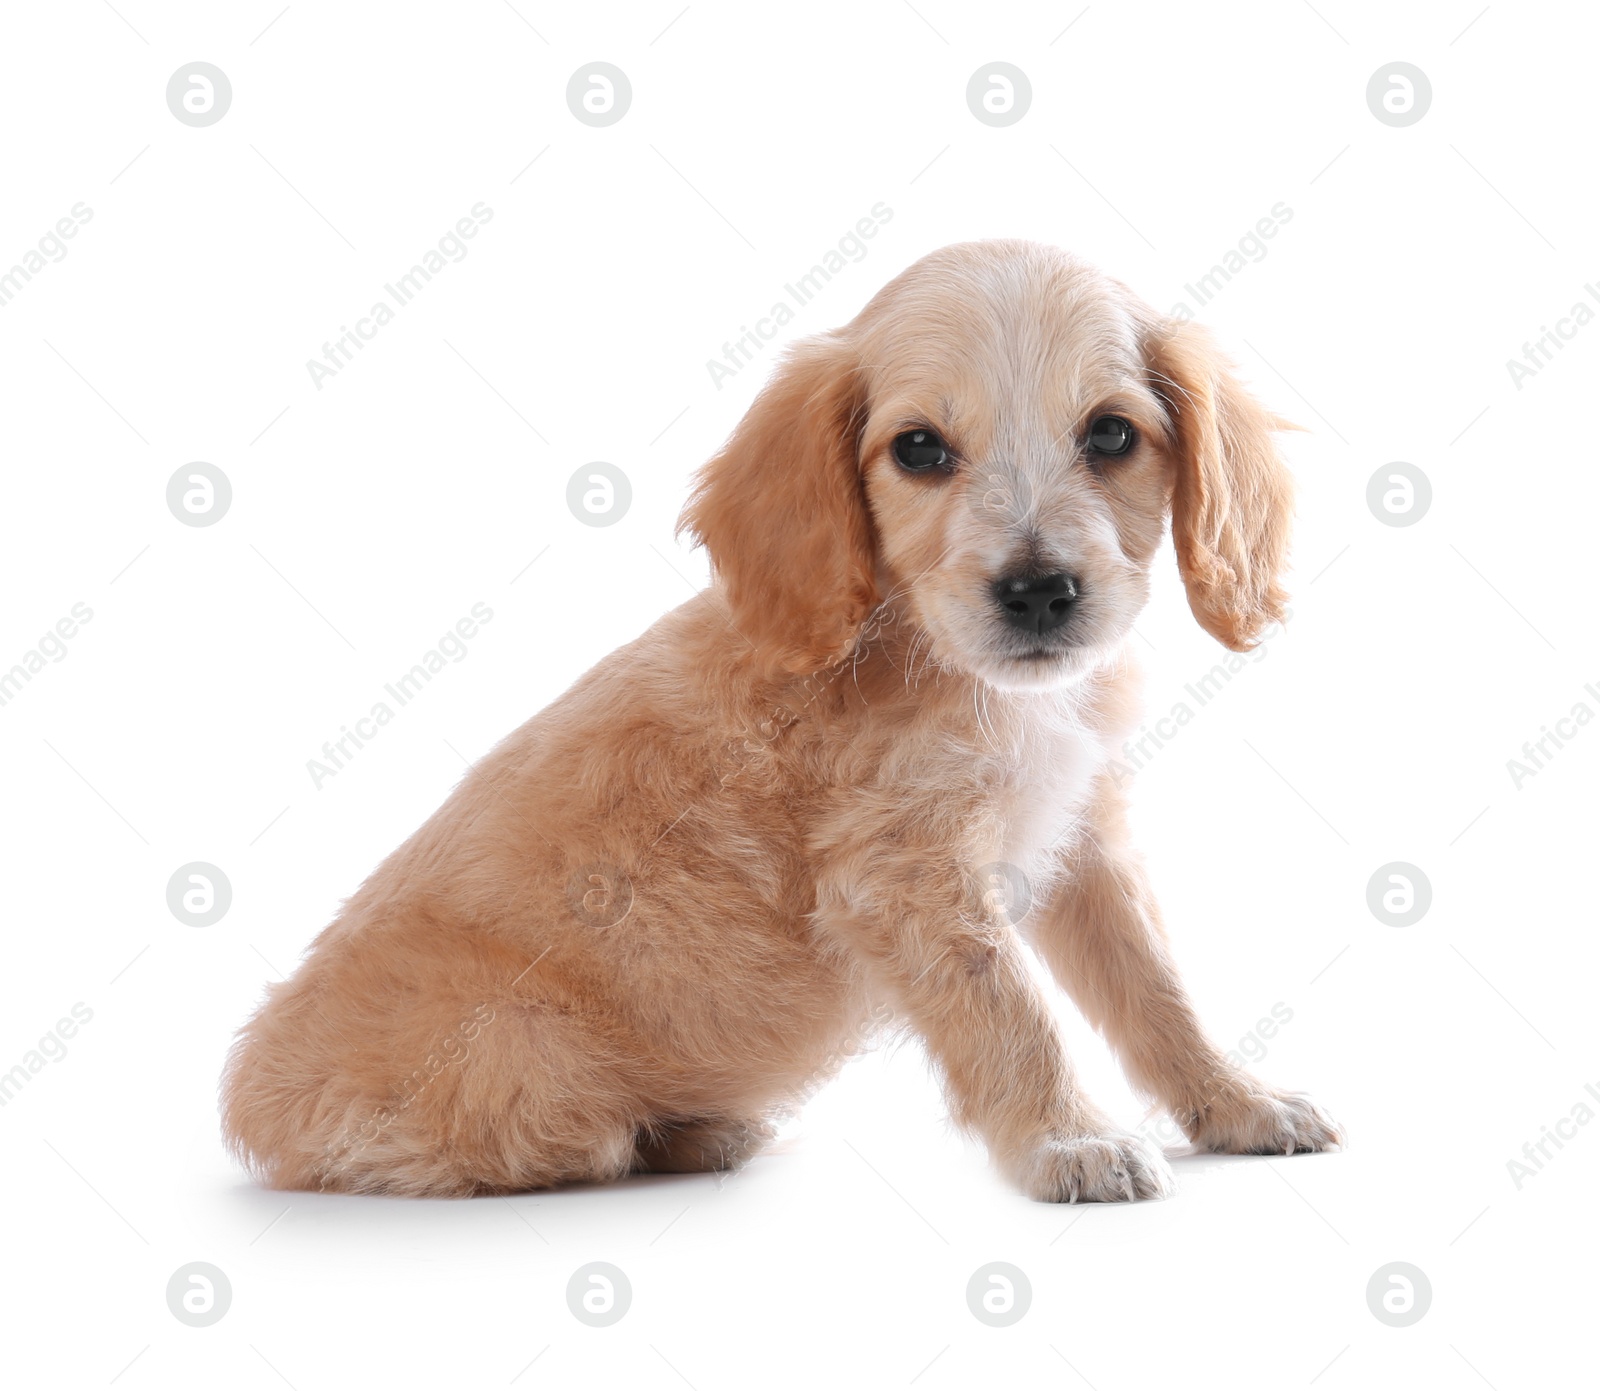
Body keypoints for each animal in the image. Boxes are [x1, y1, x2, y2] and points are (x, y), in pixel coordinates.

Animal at [225, 238, 1344, 1190]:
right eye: (920, 449)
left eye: (1111, 432)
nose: (1036, 593)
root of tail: (247, 1104)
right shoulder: (903, 876)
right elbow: (1012, 1011)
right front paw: (1068, 1138)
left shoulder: (1083, 844)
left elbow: (1156, 991)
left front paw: (1235, 1102)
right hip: (521, 1054)